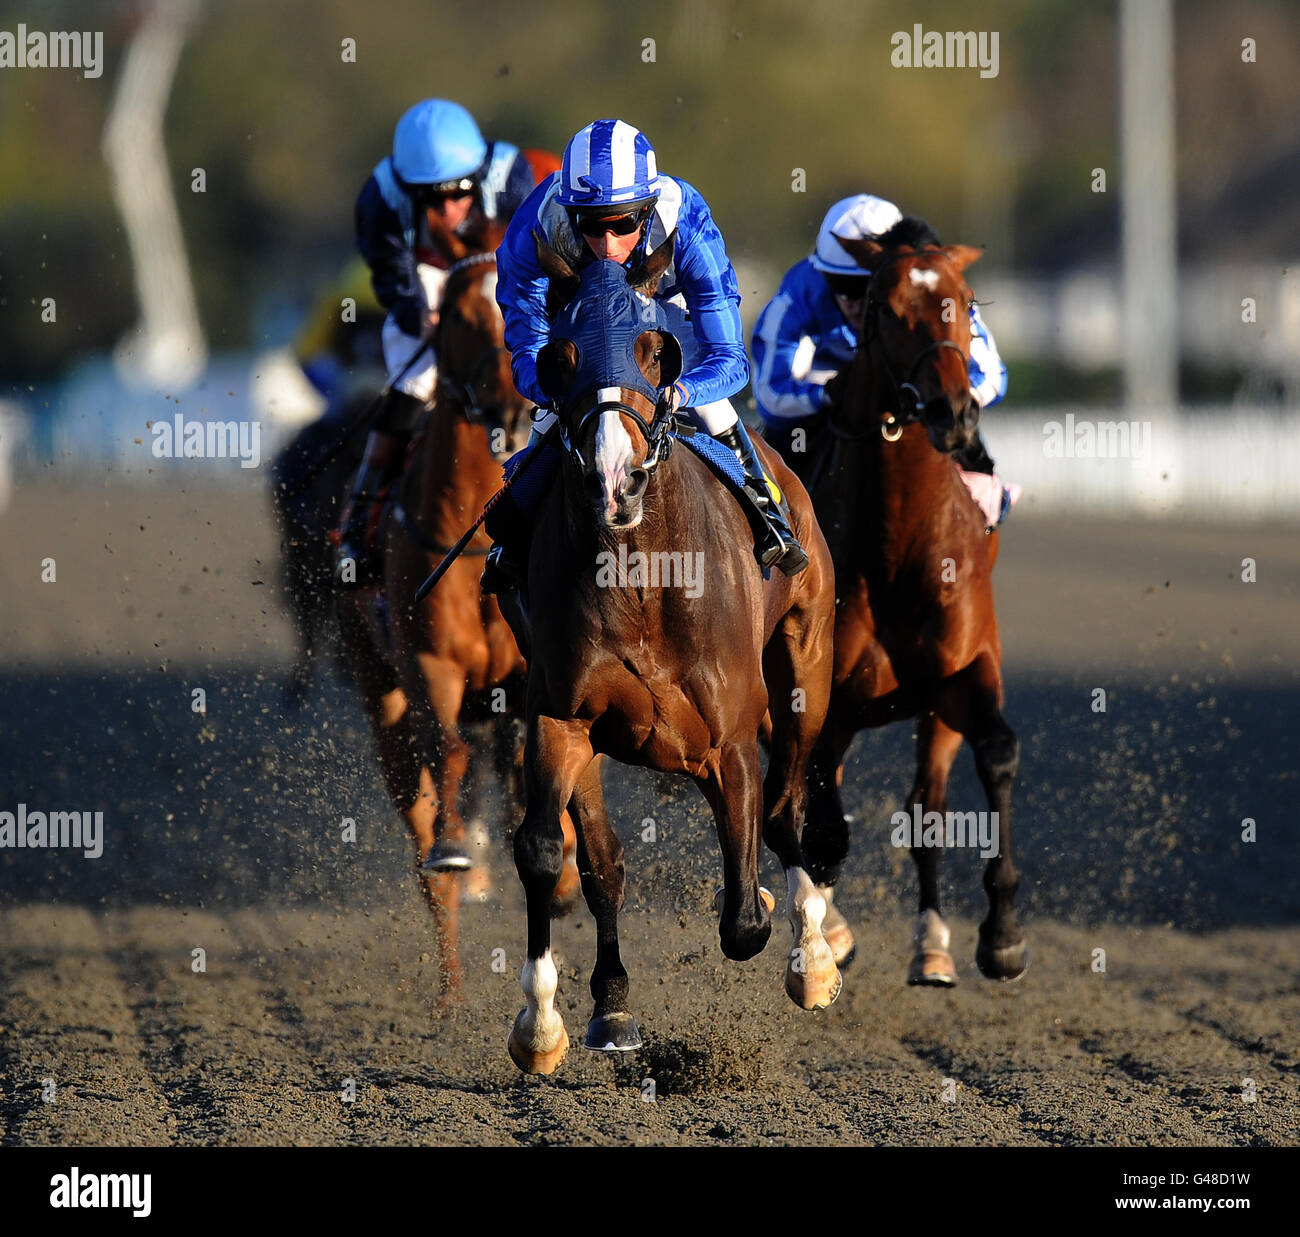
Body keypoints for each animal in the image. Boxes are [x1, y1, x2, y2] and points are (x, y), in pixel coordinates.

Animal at [338, 222, 577, 1008]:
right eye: (460, 320)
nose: (509, 407)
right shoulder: (430, 666)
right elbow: (449, 754)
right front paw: (455, 851)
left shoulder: (536, 672)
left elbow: (538, 769)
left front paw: (566, 866)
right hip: (380, 697)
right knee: (421, 823)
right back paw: (450, 991)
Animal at [499, 239, 842, 1070]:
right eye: (558, 357)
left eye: (658, 351)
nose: (614, 481)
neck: (641, 579)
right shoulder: (560, 715)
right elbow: (548, 851)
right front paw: (542, 1024)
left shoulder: (729, 737)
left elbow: (745, 918)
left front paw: (796, 942)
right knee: (603, 861)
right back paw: (612, 1006)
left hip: (806, 670)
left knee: (786, 809)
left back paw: (813, 958)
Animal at [795, 222, 1029, 987]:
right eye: (886, 308)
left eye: (966, 302)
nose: (953, 413)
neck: (897, 545)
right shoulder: (826, 698)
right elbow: (823, 825)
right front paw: (823, 942)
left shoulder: (963, 673)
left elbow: (996, 756)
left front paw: (1002, 934)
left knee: (925, 803)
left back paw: (931, 943)